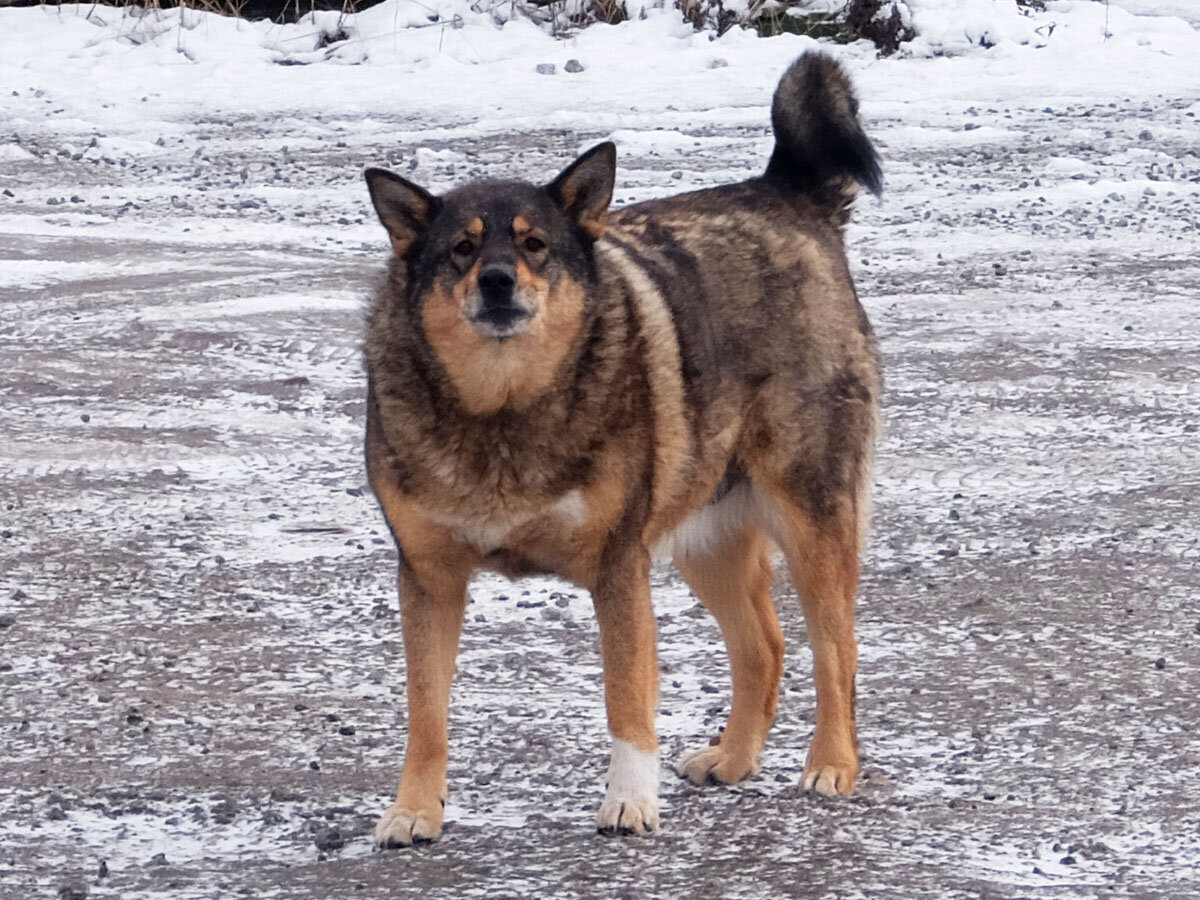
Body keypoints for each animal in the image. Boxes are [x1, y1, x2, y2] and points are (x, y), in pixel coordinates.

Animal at [360, 54, 878, 844]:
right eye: (461, 248)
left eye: (535, 244)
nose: (497, 281)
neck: (502, 410)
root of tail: (785, 193)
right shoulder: (428, 577)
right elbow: (426, 713)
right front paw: (415, 808)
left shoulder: (618, 568)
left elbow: (626, 698)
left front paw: (630, 801)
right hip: (705, 534)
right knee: (765, 647)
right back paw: (734, 757)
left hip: (812, 519)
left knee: (835, 652)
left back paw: (832, 764)